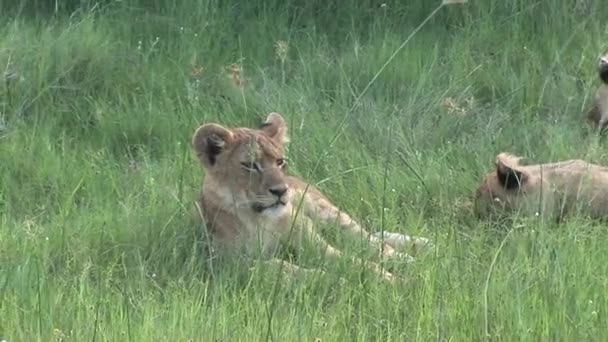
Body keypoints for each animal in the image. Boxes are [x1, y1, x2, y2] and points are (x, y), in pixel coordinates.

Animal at [192, 113, 430, 284]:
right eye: (250, 165)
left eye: (280, 161)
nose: (281, 191)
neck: (261, 220)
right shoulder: (228, 261)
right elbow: (284, 267)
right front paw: (337, 280)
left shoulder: (314, 243)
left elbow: (353, 260)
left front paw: (392, 280)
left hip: (329, 214)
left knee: (371, 240)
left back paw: (415, 255)